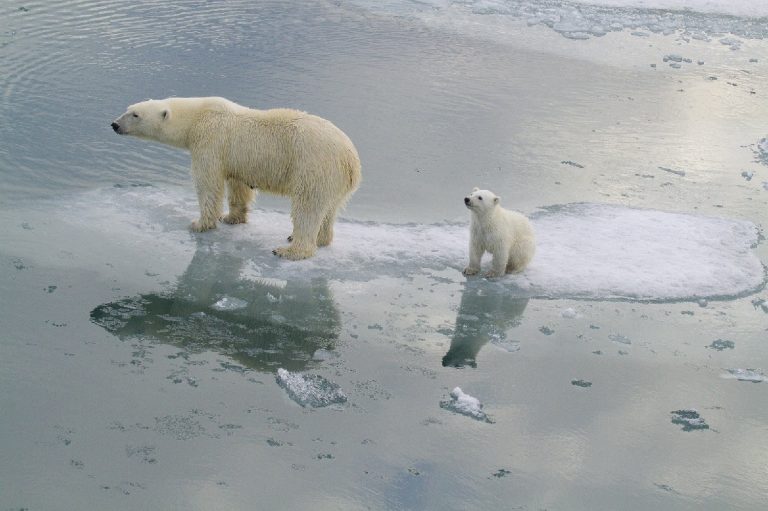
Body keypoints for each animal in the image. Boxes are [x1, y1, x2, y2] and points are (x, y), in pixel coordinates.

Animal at [112, 97, 364, 260]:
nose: (114, 124)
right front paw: (232, 218)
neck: (197, 116)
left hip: (314, 165)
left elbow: (208, 183)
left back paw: (290, 249)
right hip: (334, 180)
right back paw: (320, 239)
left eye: (135, 114)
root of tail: (351, 159)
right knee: (329, 209)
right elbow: (238, 185)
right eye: (128, 108)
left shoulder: (210, 141)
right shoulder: (236, 159)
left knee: (307, 207)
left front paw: (199, 223)